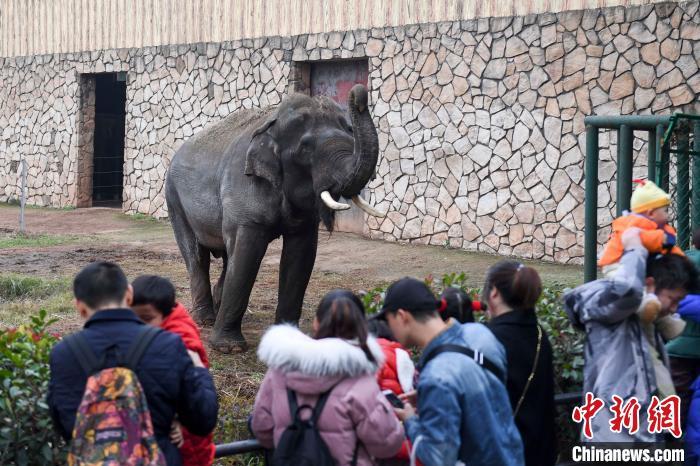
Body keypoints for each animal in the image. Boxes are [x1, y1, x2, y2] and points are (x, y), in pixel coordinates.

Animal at [165, 84, 383, 353]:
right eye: (305, 148)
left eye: (350, 134)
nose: (359, 93)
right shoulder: (244, 189)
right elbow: (247, 254)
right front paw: (229, 348)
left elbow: (300, 255)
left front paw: (288, 338)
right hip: (174, 199)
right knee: (196, 255)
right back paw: (204, 319)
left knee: (226, 257)